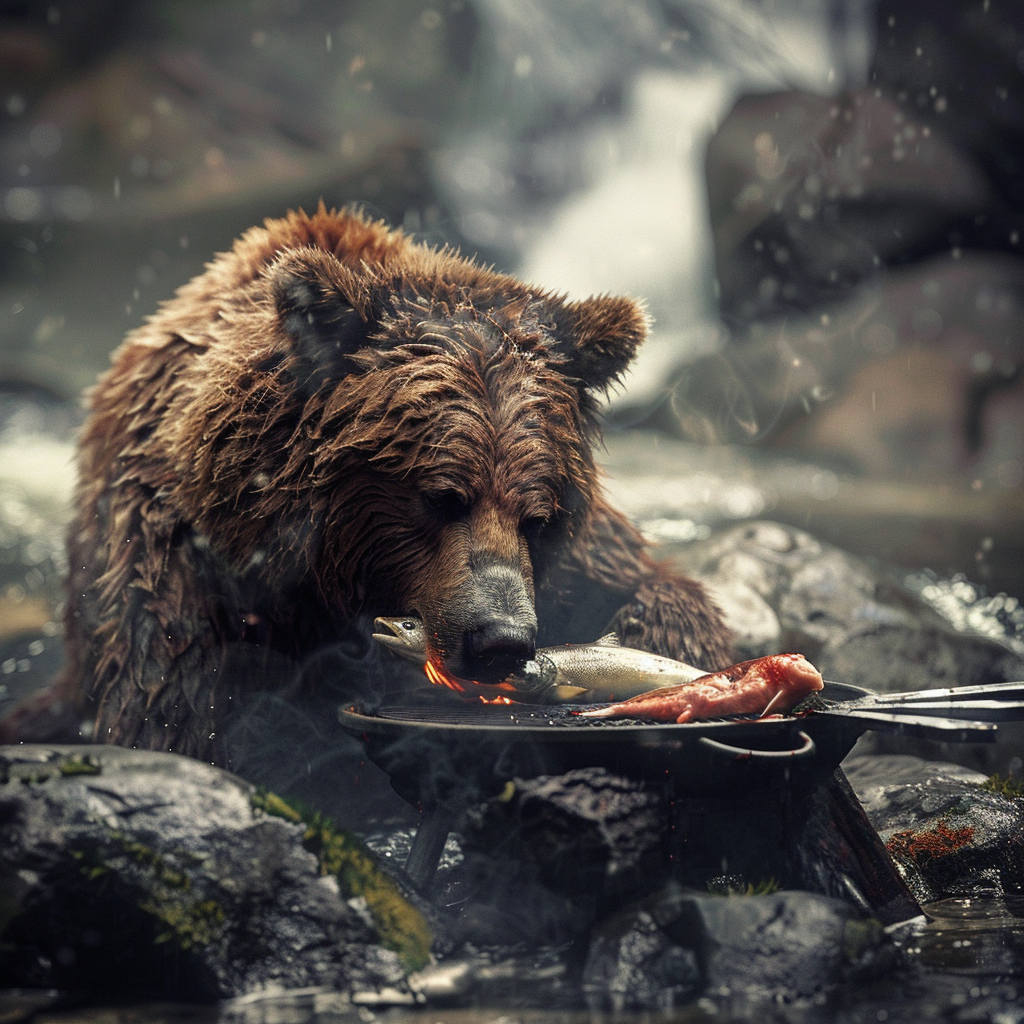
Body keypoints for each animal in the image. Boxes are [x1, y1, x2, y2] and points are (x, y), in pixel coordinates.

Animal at [4, 205, 733, 770]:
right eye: (442, 496)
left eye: (538, 515)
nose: (500, 639)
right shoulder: (178, 574)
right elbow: (173, 707)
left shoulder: (579, 553)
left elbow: (650, 589)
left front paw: (650, 638)